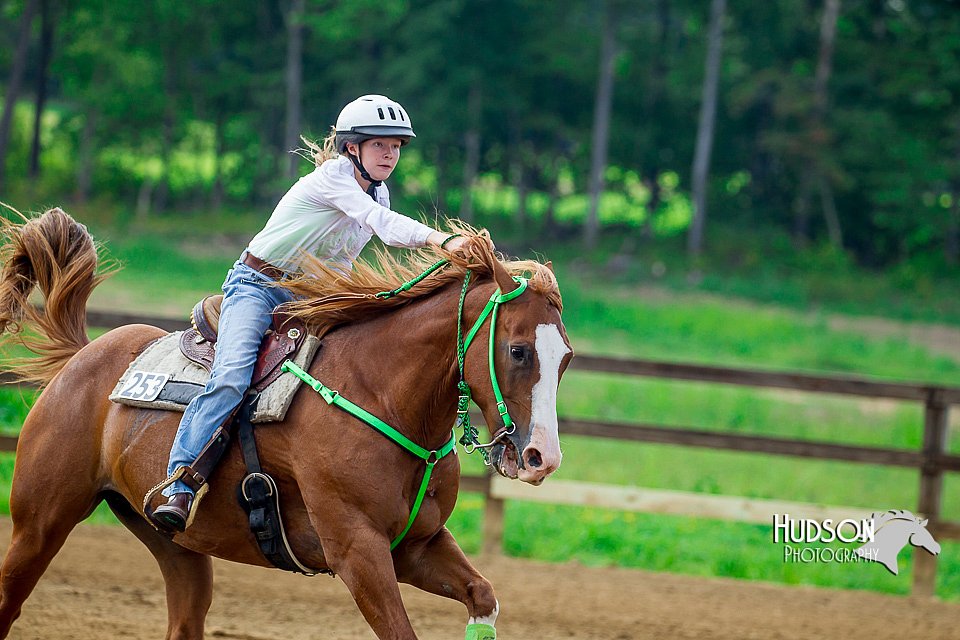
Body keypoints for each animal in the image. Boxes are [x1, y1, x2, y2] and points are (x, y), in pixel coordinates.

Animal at [0, 208, 572, 636]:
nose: (541, 457)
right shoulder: (357, 552)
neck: (379, 392)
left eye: (565, 357)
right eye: (518, 351)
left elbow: (483, 595)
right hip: (39, 522)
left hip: (176, 545)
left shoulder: (416, 547)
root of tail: (83, 356)